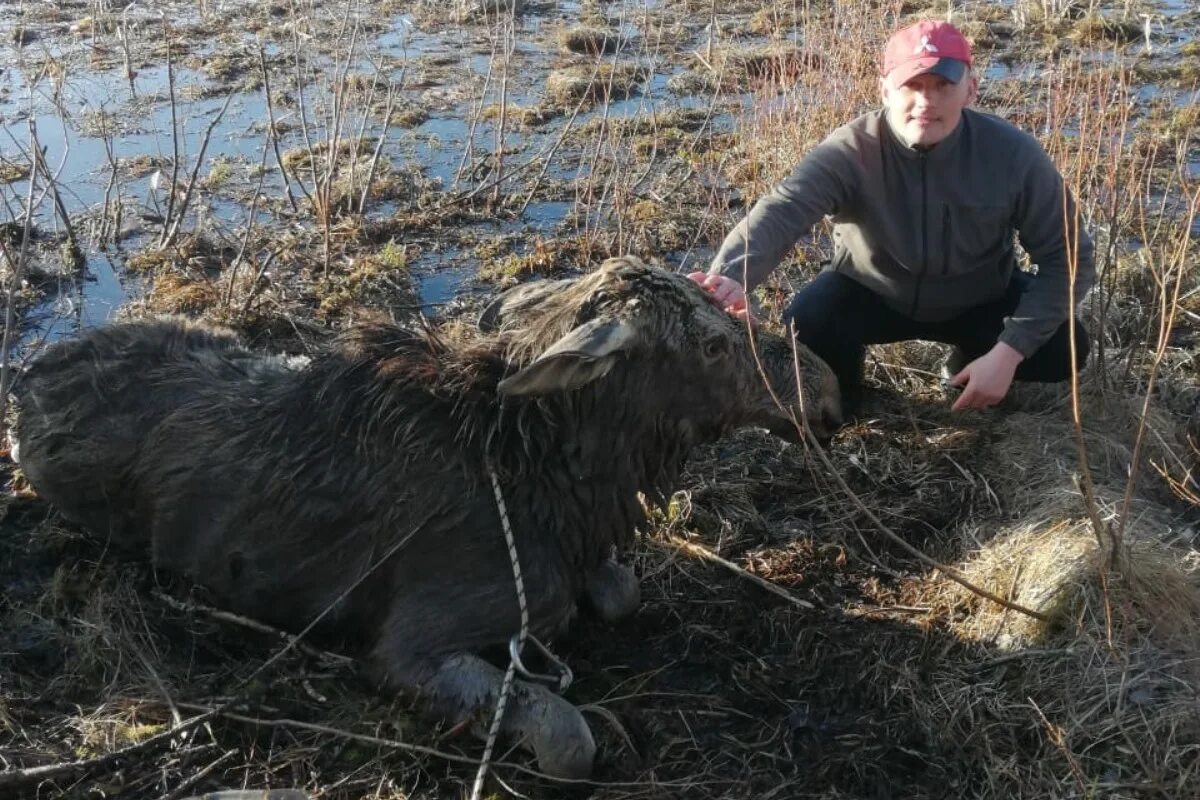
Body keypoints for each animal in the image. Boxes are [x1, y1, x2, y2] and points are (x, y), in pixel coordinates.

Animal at [11, 257, 835, 782]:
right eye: (713, 343)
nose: (826, 386)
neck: (557, 482)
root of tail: (25, 382)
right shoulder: (406, 646)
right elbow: (568, 739)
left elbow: (619, 591)